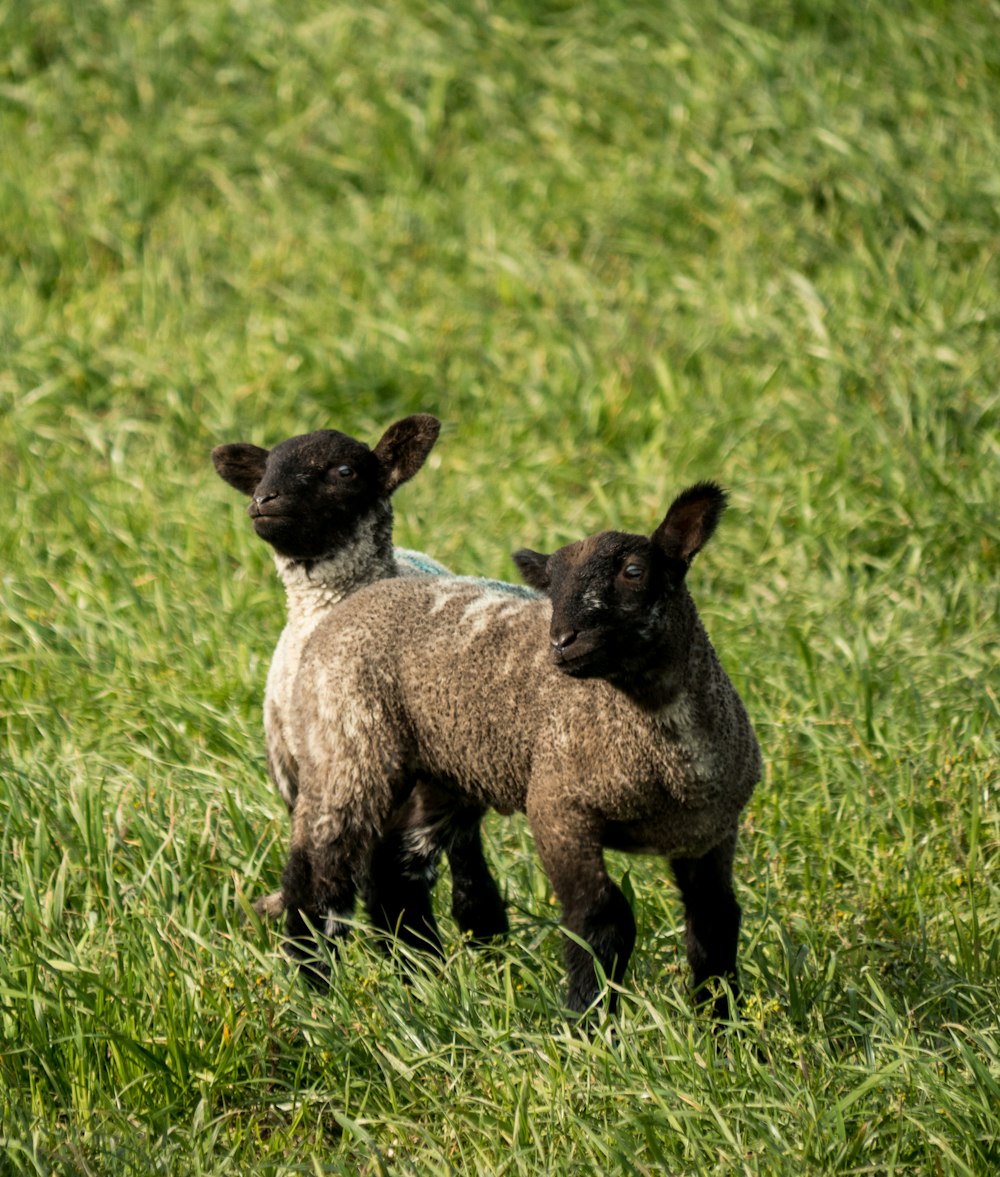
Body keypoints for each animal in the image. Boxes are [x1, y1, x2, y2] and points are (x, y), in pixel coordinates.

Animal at [276, 477, 757, 1012]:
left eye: (634, 571)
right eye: (552, 587)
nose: (562, 642)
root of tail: (352, 601)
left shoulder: (710, 833)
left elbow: (714, 923)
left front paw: (721, 1019)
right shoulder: (559, 806)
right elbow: (600, 919)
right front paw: (587, 1016)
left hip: (447, 769)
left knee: (395, 870)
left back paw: (421, 975)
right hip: (345, 745)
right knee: (316, 876)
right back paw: (316, 987)